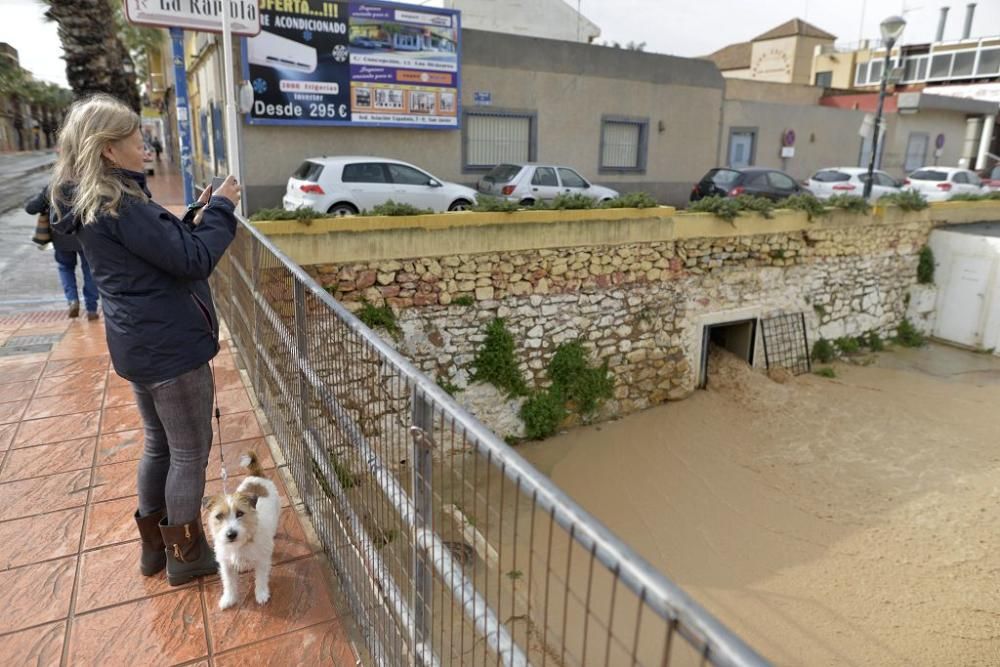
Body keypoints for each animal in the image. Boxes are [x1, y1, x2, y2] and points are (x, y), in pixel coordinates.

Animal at [203, 454, 280, 612]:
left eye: (240, 513)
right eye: (219, 516)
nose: (231, 534)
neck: (241, 544)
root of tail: (256, 475)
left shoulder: (262, 560)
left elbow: (261, 578)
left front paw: (261, 594)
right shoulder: (225, 564)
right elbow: (228, 583)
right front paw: (228, 599)